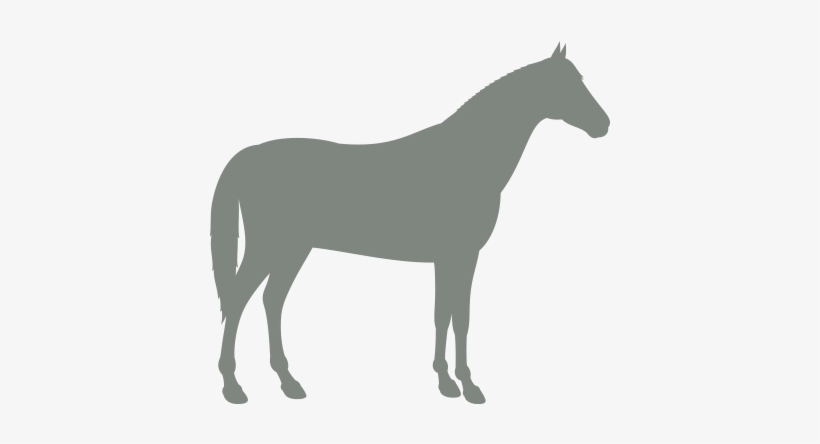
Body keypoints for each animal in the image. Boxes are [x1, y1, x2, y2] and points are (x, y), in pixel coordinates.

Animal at [211, 43, 609, 405]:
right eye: (567, 84)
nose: (604, 124)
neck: (468, 157)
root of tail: (248, 156)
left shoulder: (447, 259)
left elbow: (443, 314)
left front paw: (447, 382)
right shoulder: (463, 255)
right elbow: (460, 317)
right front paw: (469, 386)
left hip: (295, 249)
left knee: (272, 300)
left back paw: (289, 382)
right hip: (269, 247)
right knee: (238, 300)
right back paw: (233, 387)